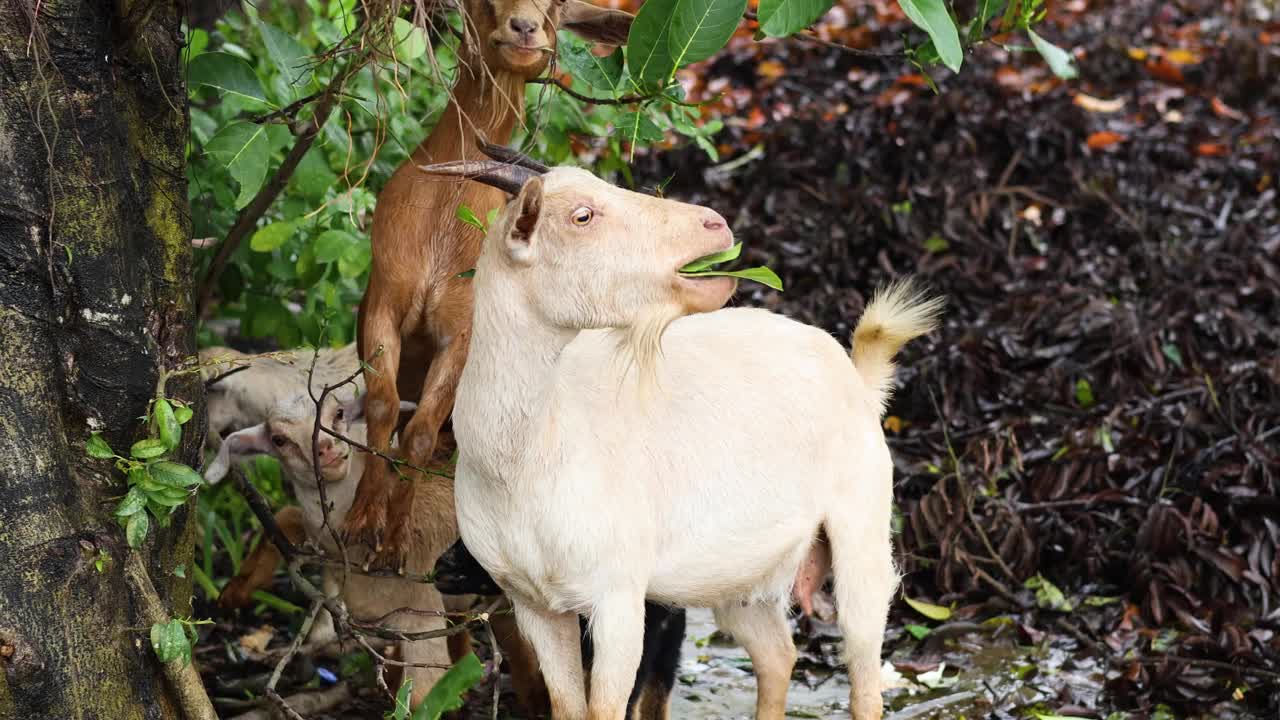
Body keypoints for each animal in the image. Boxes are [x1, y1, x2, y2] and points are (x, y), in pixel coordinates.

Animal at [345, 0, 634, 566]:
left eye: (558, 8)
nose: (523, 28)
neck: (442, 225)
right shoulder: (385, 299)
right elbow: (383, 405)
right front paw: (359, 522)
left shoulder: (462, 332)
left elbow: (419, 432)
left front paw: (393, 544)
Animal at [422, 156, 942, 717]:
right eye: (582, 216)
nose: (715, 224)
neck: (529, 458)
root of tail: (857, 377)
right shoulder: (534, 604)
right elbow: (568, 707)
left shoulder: (619, 598)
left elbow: (608, 707)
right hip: (740, 576)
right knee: (777, 653)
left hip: (862, 524)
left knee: (863, 664)